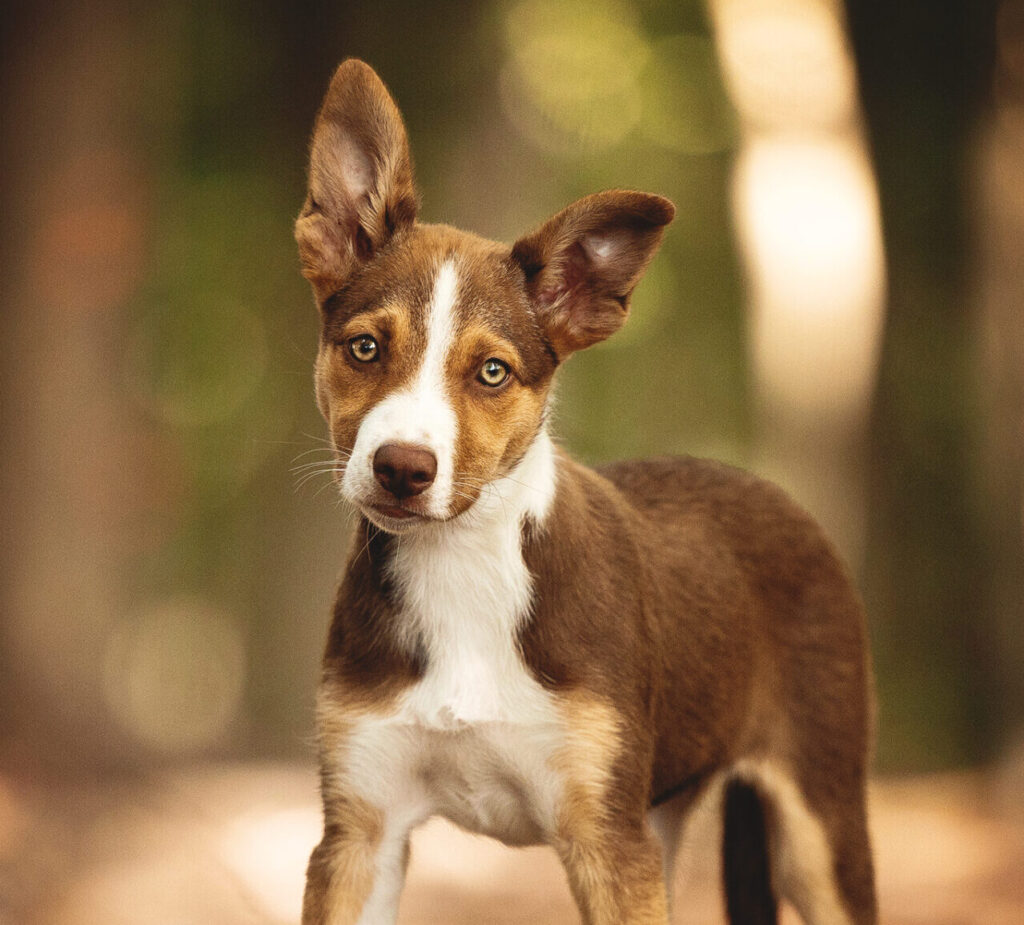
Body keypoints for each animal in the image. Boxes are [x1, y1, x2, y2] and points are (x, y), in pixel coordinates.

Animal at [292, 59, 876, 925]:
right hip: (664, 817)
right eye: (364, 348)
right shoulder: (358, 832)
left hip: (819, 816)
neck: (464, 565)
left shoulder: (607, 839)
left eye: (491, 371)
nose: (402, 467)